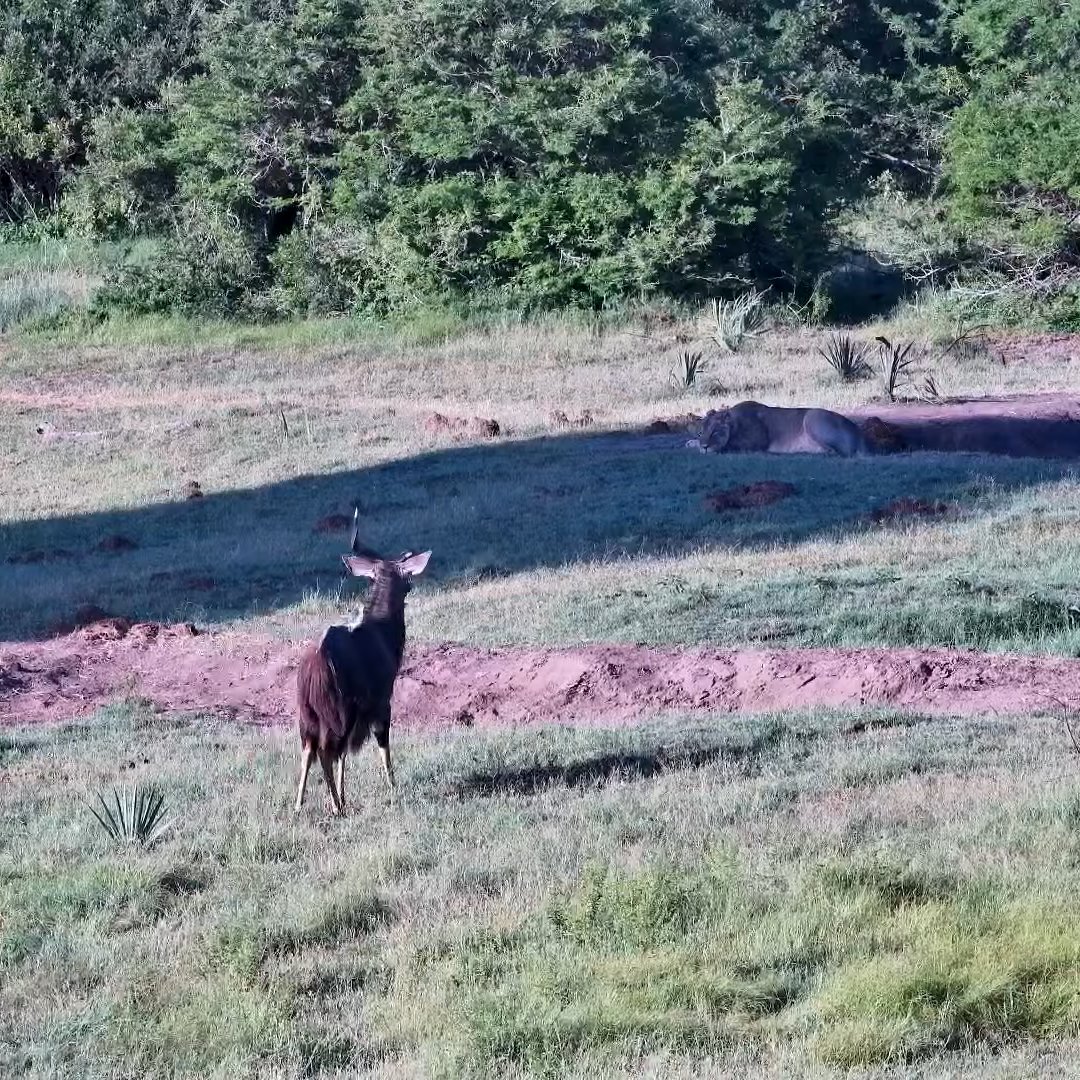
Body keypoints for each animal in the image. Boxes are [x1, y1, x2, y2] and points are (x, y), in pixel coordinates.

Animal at [690, 401, 873, 457]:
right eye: (701, 433)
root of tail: (859, 432)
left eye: (715, 432)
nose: (704, 446)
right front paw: (691, 444)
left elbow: (730, 447)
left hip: (811, 417)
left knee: (836, 452)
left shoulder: (758, 442)